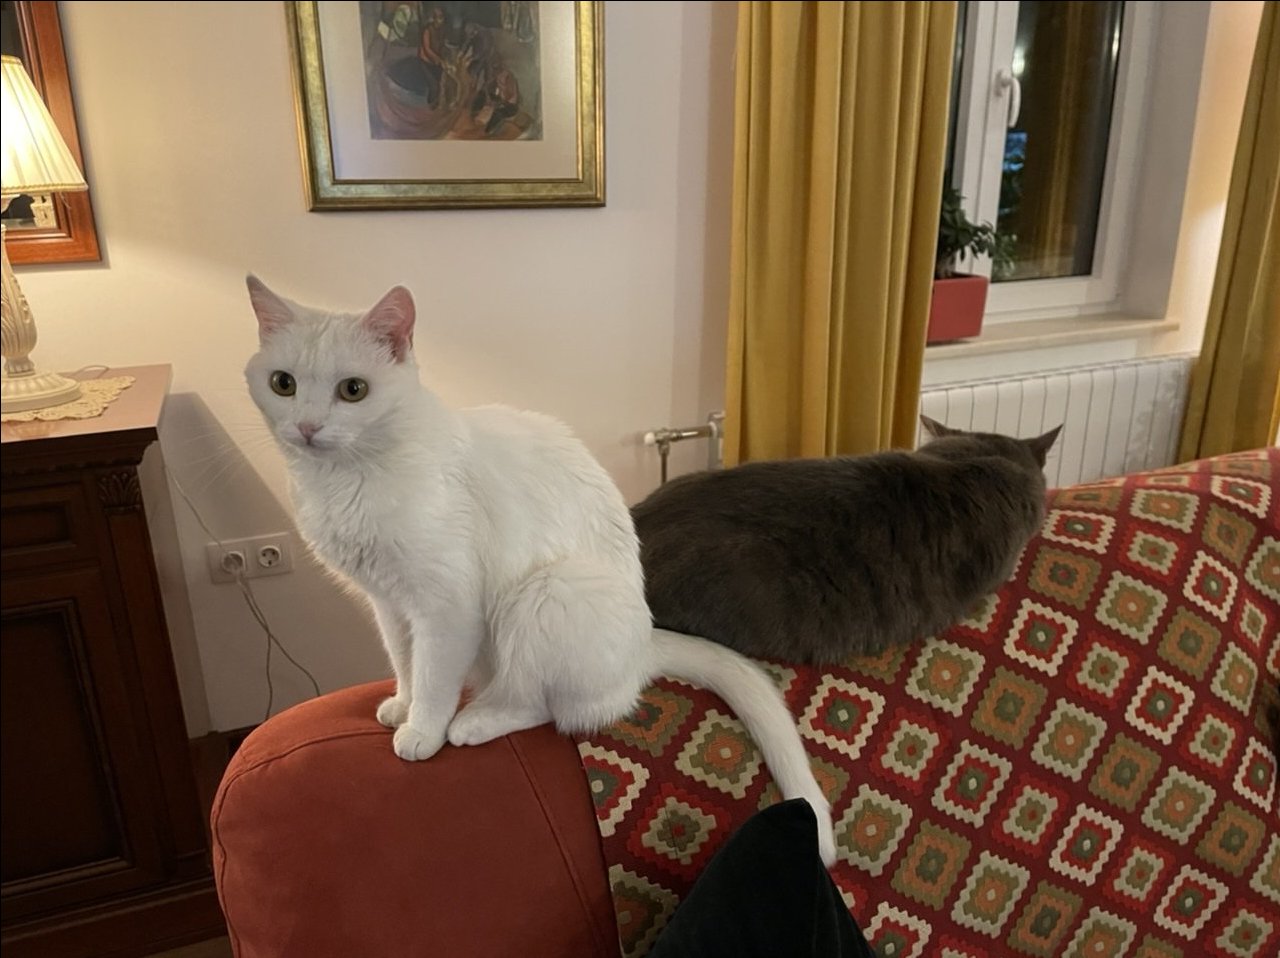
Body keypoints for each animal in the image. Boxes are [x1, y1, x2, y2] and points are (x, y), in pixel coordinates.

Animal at [243, 277, 837, 866]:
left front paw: (423, 731)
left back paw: (475, 721)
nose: (308, 426)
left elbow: (434, 676)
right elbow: (405, 663)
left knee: (543, 706)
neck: (347, 480)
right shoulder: (389, 604)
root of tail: (643, 645)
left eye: (353, 390)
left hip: (543, 596)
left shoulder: (445, 606)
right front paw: (403, 707)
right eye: (283, 384)